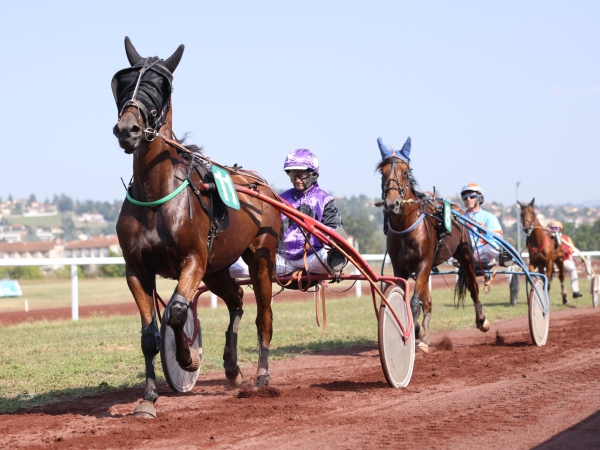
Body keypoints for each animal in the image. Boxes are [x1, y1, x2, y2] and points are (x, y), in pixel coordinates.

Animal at [112, 38, 282, 418]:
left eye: (159, 86)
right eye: (124, 82)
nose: (127, 129)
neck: (155, 195)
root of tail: (261, 186)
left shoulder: (193, 260)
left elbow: (176, 312)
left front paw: (187, 358)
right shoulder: (137, 269)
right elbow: (149, 334)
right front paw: (148, 398)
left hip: (259, 257)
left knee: (263, 315)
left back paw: (261, 376)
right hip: (217, 268)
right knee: (236, 300)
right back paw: (232, 368)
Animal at [378, 137, 490, 352]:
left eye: (405, 172)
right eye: (382, 172)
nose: (392, 203)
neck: (406, 227)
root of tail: (456, 209)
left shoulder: (424, 263)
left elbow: (414, 302)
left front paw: (413, 329)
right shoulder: (400, 269)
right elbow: (409, 299)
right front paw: (416, 330)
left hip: (465, 254)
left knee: (473, 286)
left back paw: (482, 320)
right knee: (428, 301)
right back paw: (425, 338)